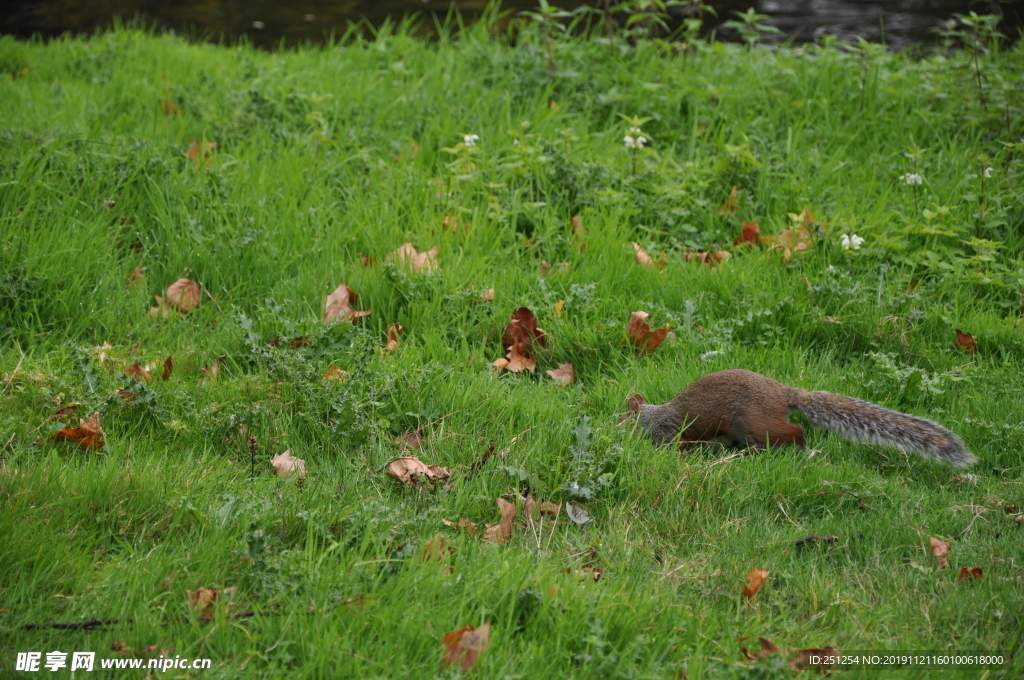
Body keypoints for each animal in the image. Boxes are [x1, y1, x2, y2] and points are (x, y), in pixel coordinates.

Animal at [630, 366, 974, 466]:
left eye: (623, 419)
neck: (654, 415)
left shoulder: (668, 433)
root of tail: (785, 394)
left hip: (753, 423)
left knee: (794, 432)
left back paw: (800, 448)